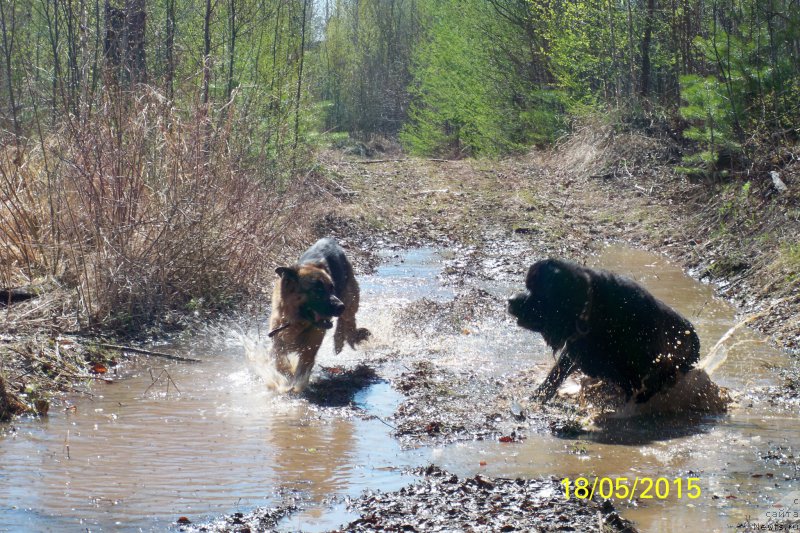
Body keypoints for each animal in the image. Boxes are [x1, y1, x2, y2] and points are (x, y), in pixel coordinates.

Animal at [268, 238, 370, 390]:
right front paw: (286, 378)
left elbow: (302, 370)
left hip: (350, 301)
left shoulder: (310, 346)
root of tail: (329, 240)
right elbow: (279, 362)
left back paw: (339, 339)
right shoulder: (278, 338)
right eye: (317, 289)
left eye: (331, 287)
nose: (341, 307)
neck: (298, 321)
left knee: (348, 322)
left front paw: (296, 387)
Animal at [506, 258, 700, 404]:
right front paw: (538, 396)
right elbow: (557, 372)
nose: (510, 299)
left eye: (537, 291)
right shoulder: (578, 349)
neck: (592, 311)